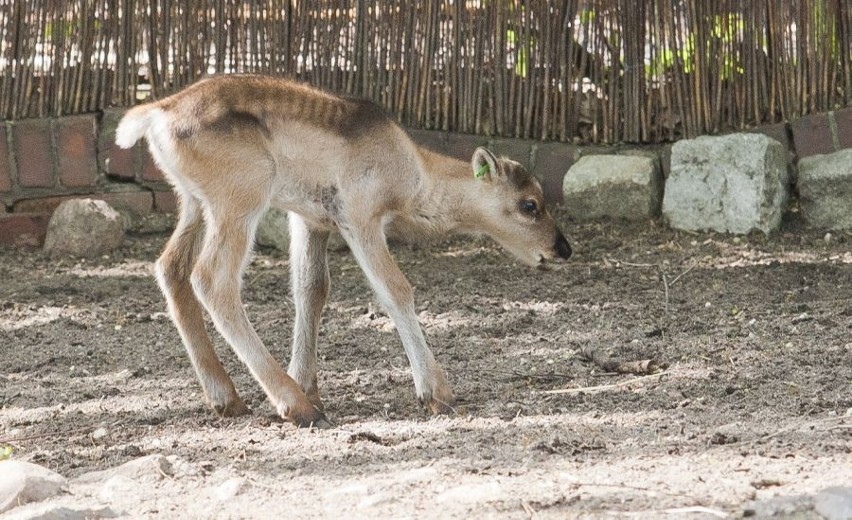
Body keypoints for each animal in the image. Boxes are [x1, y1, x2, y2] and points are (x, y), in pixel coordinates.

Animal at [116, 76, 568, 426]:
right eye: (530, 204)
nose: (561, 248)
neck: (414, 175)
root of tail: (158, 111)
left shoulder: (311, 221)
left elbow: (311, 290)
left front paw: (310, 384)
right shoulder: (360, 218)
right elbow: (395, 290)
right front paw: (437, 391)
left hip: (193, 202)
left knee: (171, 268)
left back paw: (230, 399)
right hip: (240, 199)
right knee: (212, 279)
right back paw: (296, 406)